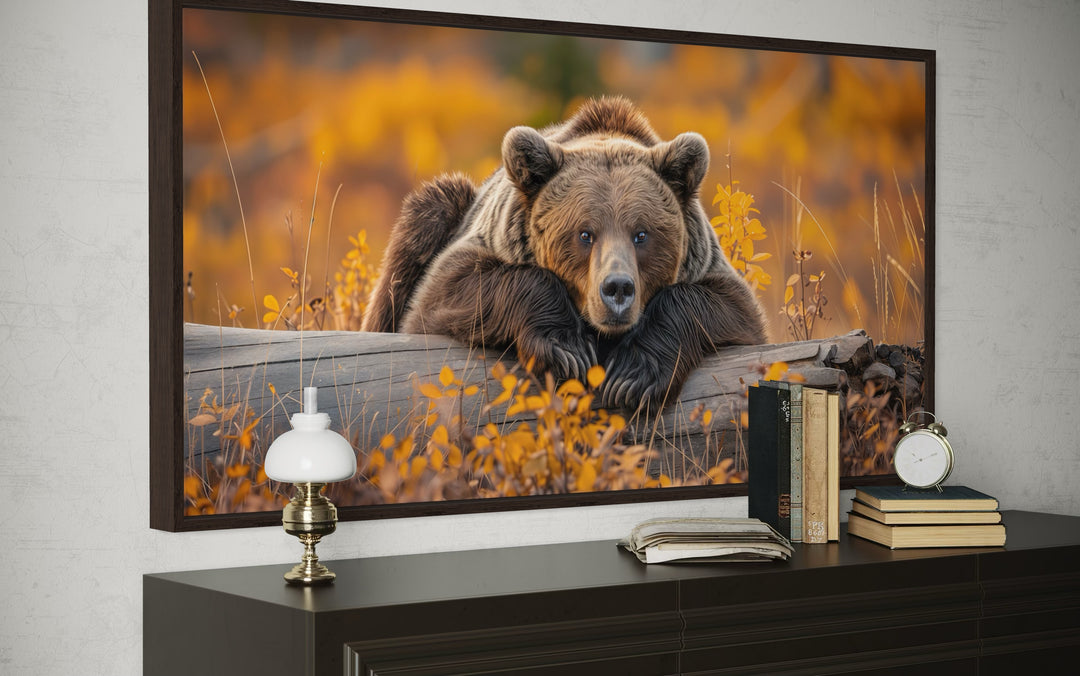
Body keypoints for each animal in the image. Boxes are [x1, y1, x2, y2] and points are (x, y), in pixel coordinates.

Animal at [362, 96, 767, 411]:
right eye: (585, 233)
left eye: (642, 234)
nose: (617, 289)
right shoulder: (486, 245)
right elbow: (442, 295)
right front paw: (567, 351)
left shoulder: (707, 266)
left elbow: (731, 308)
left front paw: (631, 375)